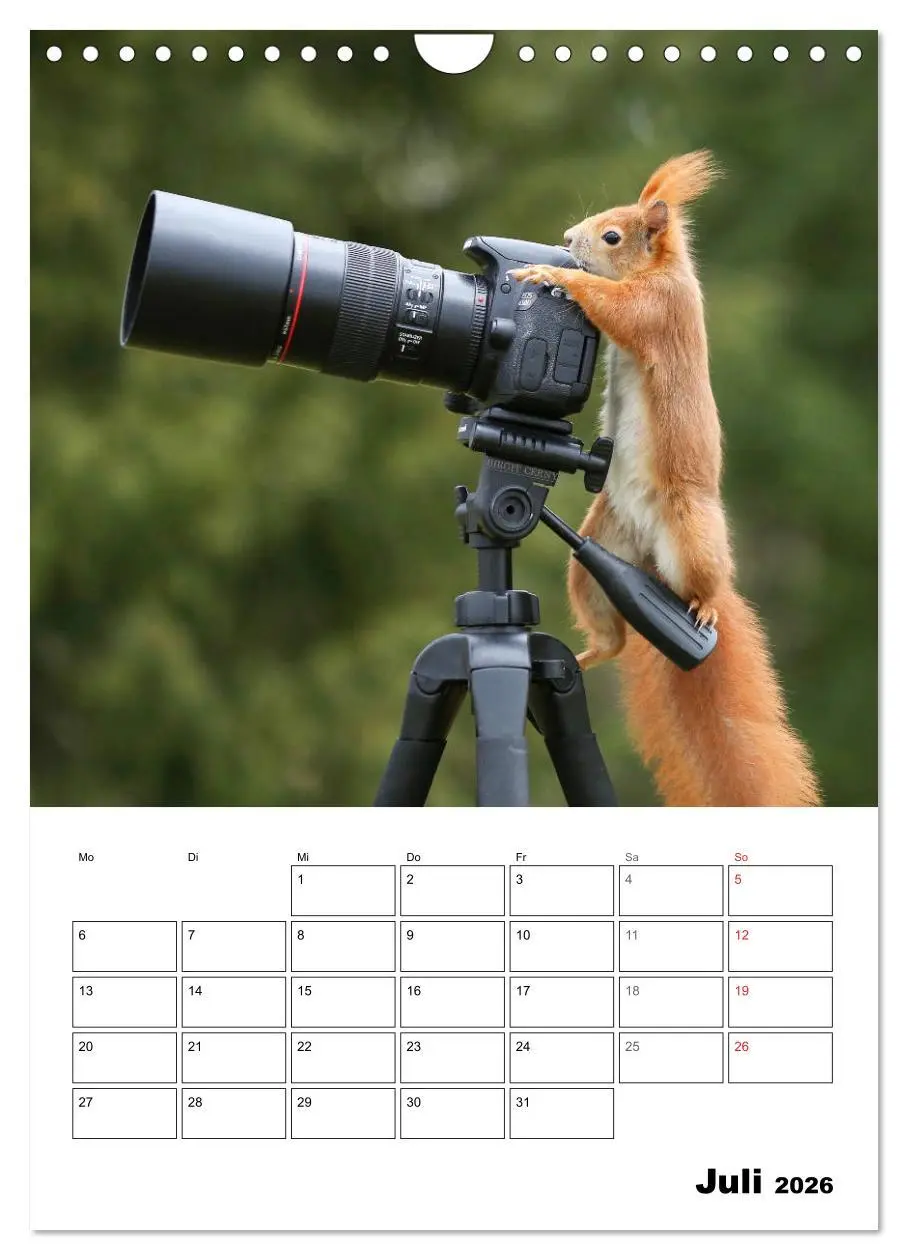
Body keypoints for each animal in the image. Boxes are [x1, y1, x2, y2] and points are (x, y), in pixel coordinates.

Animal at [511, 150, 821, 807]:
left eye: (612, 235)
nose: (566, 240)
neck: (663, 269)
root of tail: (653, 564)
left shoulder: (657, 309)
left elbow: (615, 306)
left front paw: (547, 275)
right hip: (595, 553)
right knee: (614, 637)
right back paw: (588, 655)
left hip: (689, 530)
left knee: (705, 583)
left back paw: (702, 608)